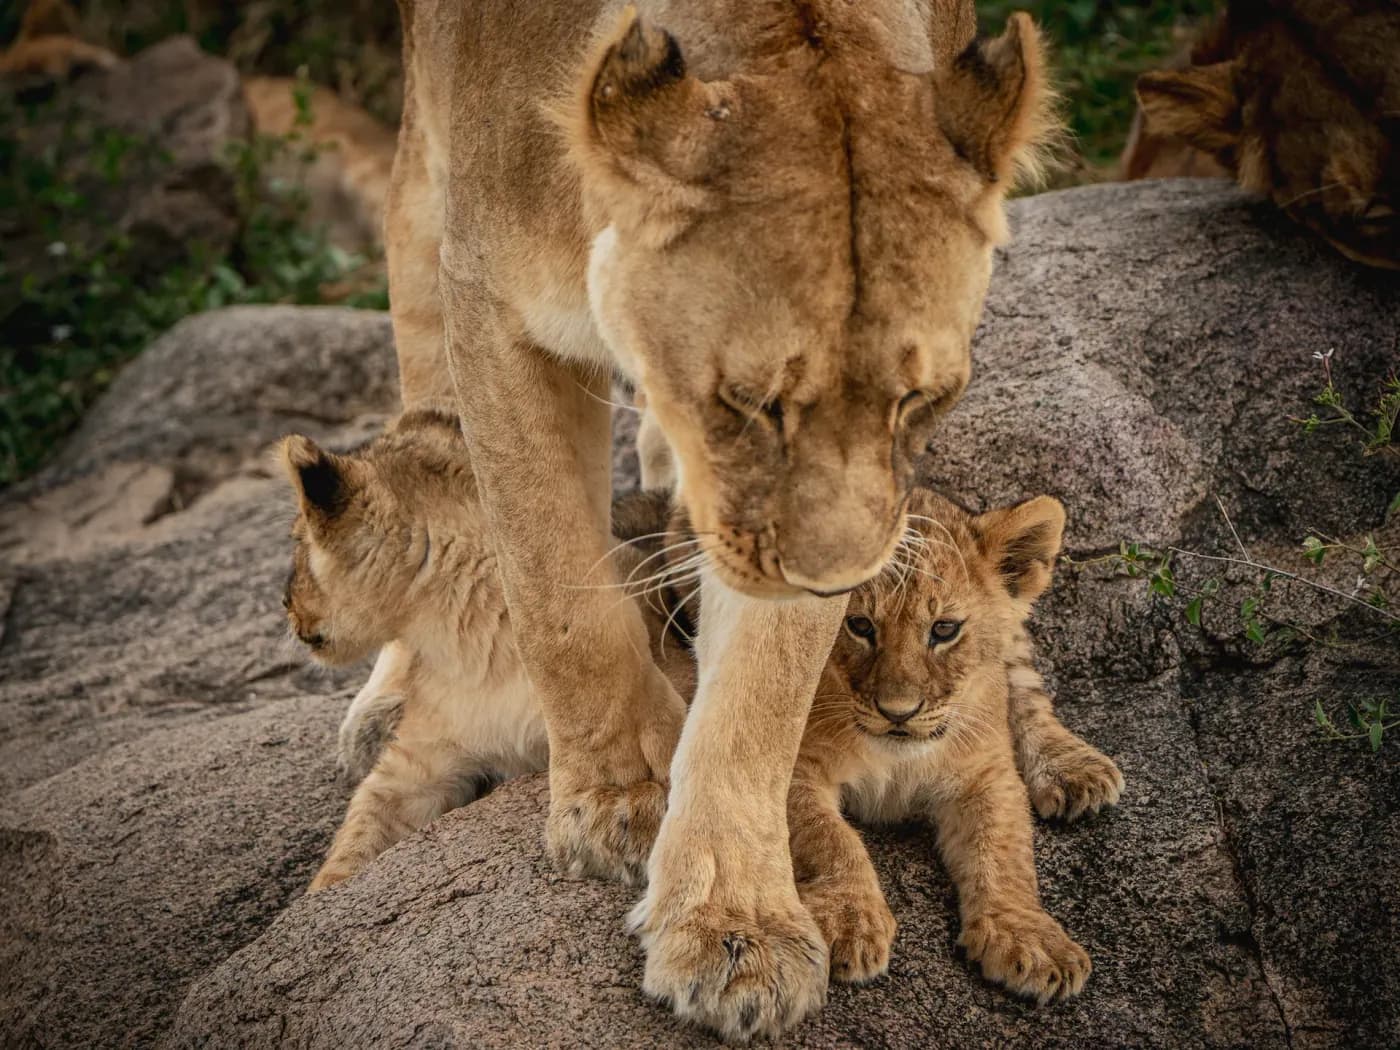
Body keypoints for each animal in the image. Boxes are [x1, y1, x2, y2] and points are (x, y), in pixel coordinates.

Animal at [280, 418, 1122, 998]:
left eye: (944, 630)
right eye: (857, 629)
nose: (285, 607)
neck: (461, 633)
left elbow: (1001, 850)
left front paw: (1028, 937)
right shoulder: (418, 767)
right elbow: (355, 839)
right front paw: (313, 917)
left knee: (1021, 680)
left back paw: (1074, 770)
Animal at [386, 1, 1056, 1036]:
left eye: (921, 400)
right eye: (750, 402)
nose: (840, 585)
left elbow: (762, 697)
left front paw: (737, 928)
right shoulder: (492, 311)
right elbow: (553, 591)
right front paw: (618, 799)